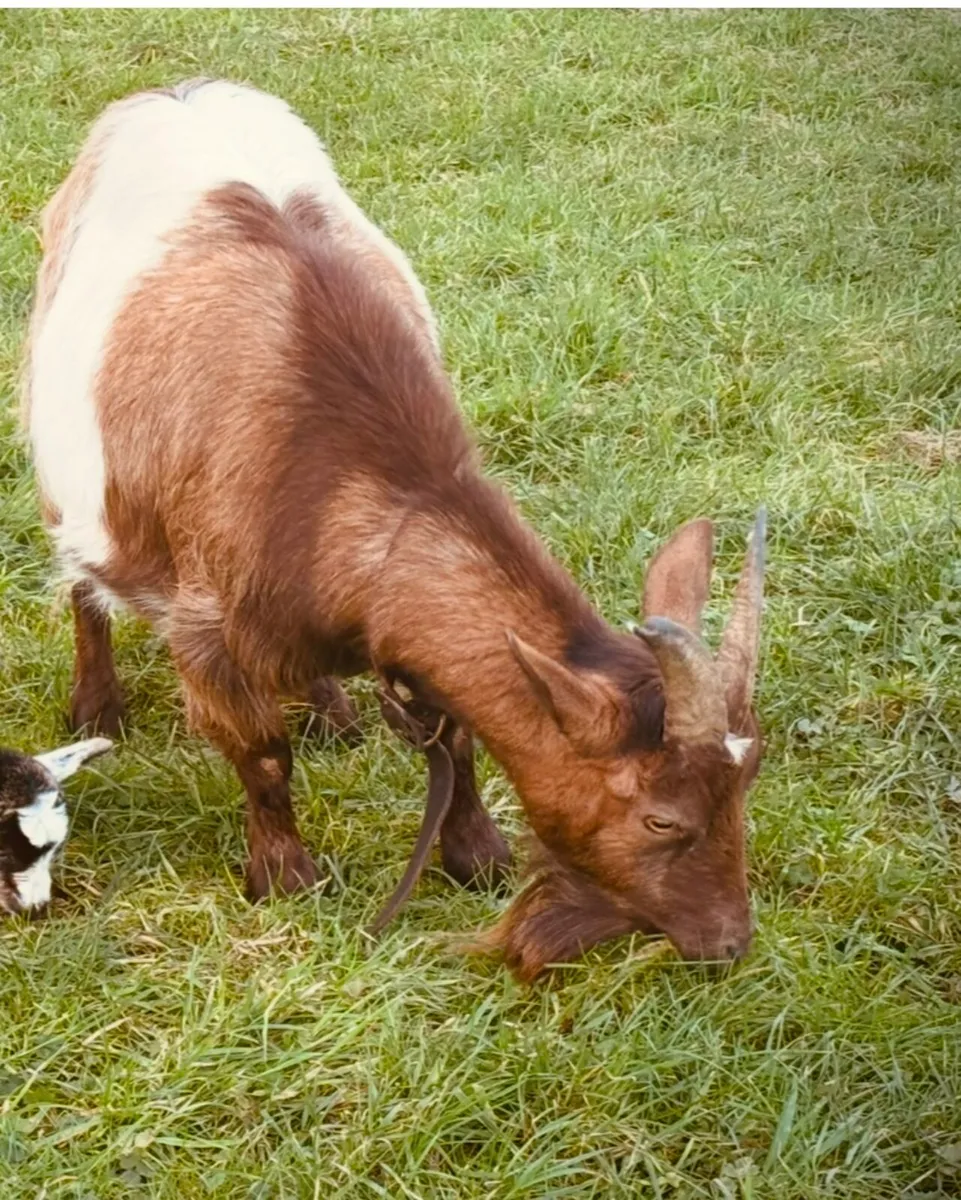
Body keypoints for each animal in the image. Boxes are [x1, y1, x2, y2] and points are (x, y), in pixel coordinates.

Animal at [23, 80, 765, 978]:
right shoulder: (204, 629)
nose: (727, 942)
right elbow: (262, 753)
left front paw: (478, 855)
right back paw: (98, 708)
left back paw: (331, 708)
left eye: (745, 785)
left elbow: (457, 733)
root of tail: (177, 90)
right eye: (661, 817)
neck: (341, 479)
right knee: (82, 582)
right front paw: (286, 878)